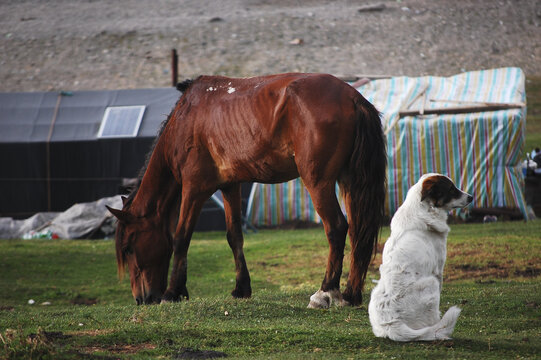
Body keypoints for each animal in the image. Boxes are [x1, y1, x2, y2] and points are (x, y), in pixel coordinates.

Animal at [106, 72, 384, 306]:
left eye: (128, 247)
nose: (141, 299)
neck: (186, 119)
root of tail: (352, 97)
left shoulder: (194, 188)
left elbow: (181, 237)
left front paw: (173, 291)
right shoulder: (230, 186)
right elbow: (234, 236)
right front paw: (241, 288)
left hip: (318, 182)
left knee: (336, 228)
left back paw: (325, 291)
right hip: (348, 181)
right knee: (357, 232)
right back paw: (351, 294)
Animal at [368, 173, 472, 342]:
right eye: (451, 189)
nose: (471, 197)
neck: (425, 209)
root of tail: (391, 324)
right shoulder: (438, 271)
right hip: (431, 283)